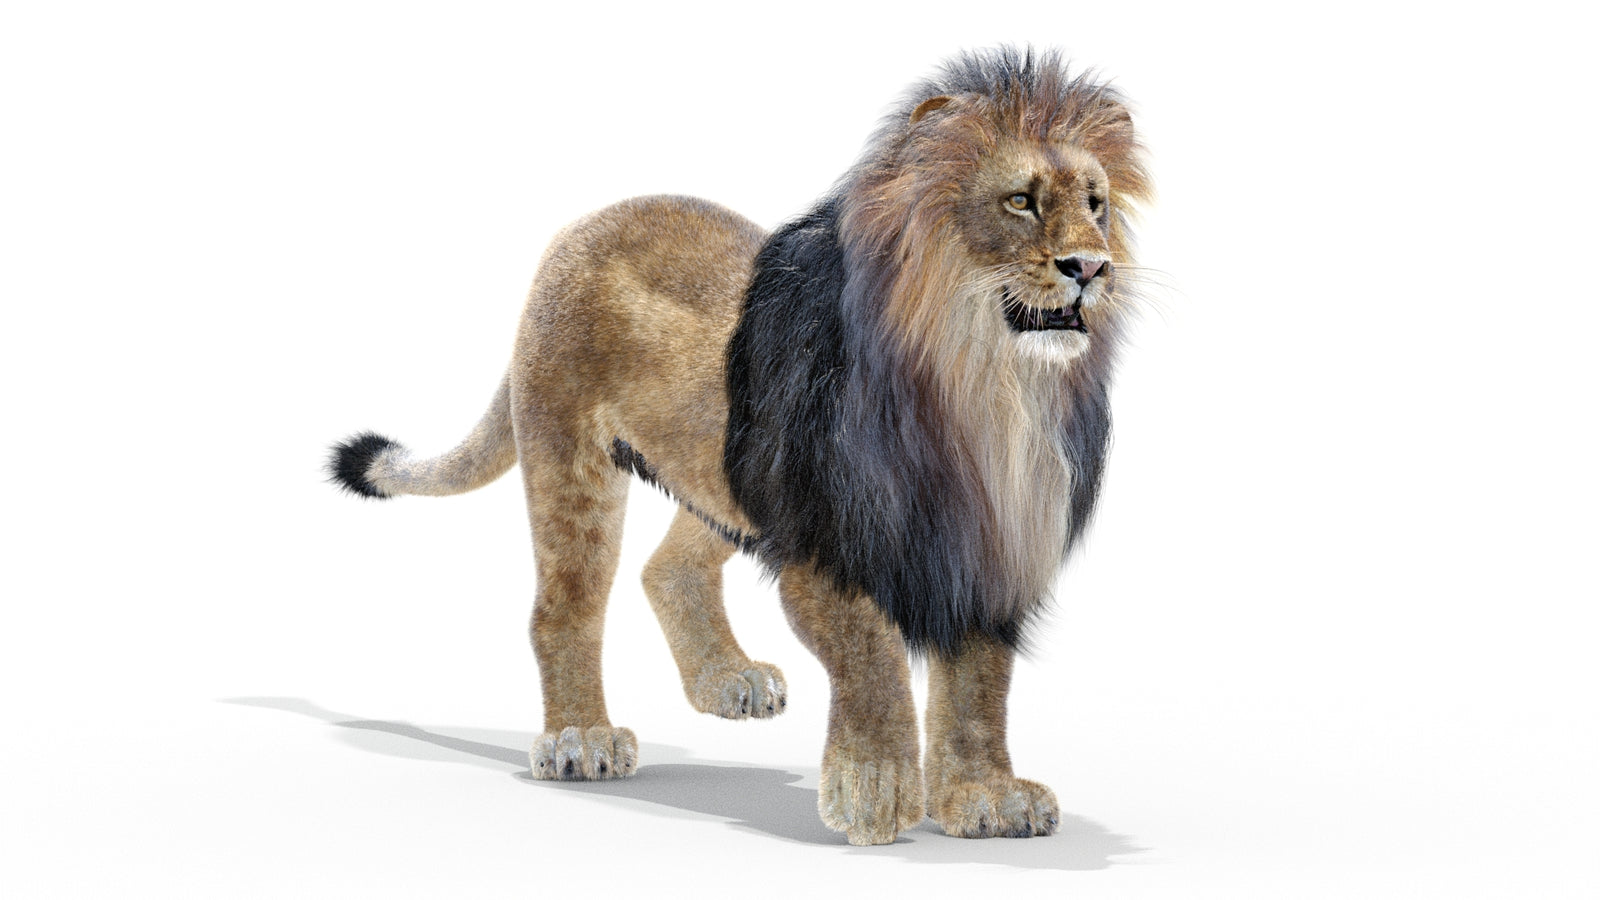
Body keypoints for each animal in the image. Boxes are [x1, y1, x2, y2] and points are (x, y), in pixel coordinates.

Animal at [328, 47, 1151, 846]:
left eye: (1096, 204)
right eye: (1021, 200)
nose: (1091, 267)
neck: (988, 390)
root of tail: (580, 229)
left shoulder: (990, 550)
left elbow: (981, 687)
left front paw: (985, 797)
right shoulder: (825, 544)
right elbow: (873, 660)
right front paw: (876, 788)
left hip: (725, 478)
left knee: (666, 570)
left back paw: (728, 681)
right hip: (573, 462)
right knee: (563, 606)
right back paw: (580, 738)